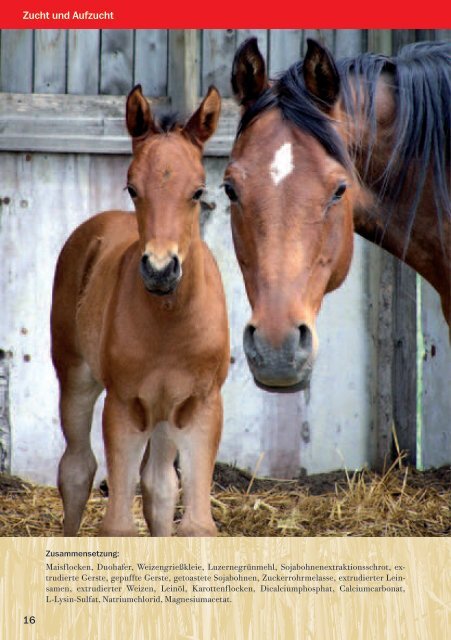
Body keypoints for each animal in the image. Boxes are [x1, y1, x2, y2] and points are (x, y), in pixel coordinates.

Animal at [50, 85, 230, 536]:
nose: (161, 269)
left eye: (198, 191)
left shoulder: (202, 406)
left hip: (165, 413)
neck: (170, 321)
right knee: (76, 469)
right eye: (132, 188)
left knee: (159, 487)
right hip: (76, 374)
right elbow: (117, 525)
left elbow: (195, 523)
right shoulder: (124, 405)